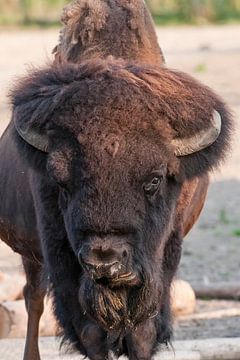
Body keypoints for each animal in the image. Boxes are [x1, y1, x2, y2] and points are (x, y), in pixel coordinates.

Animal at [0, 0, 233, 360]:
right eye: (62, 182)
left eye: (154, 180)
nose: (104, 260)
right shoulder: (64, 266)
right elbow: (90, 331)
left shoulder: (162, 262)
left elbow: (141, 332)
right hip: (31, 254)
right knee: (33, 299)